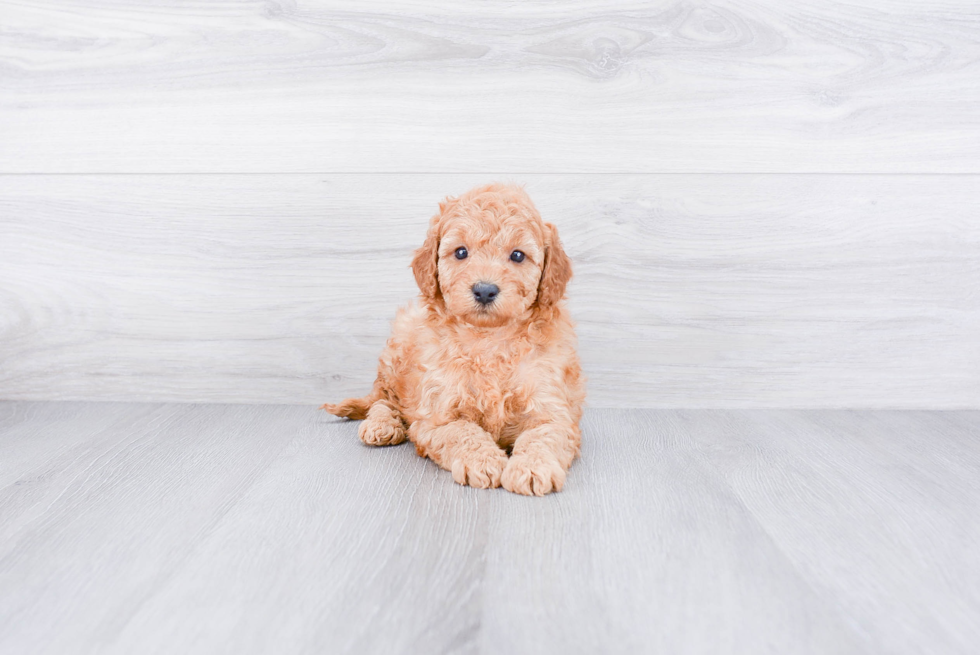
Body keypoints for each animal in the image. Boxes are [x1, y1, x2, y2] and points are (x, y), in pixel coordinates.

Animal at [322, 182, 584, 494]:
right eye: (460, 252)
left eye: (518, 255)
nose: (484, 290)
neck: (488, 338)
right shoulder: (436, 415)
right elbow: (462, 430)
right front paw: (483, 461)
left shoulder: (553, 409)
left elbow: (543, 436)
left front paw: (533, 468)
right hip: (397, 351)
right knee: (383, 400)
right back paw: (382, 425)